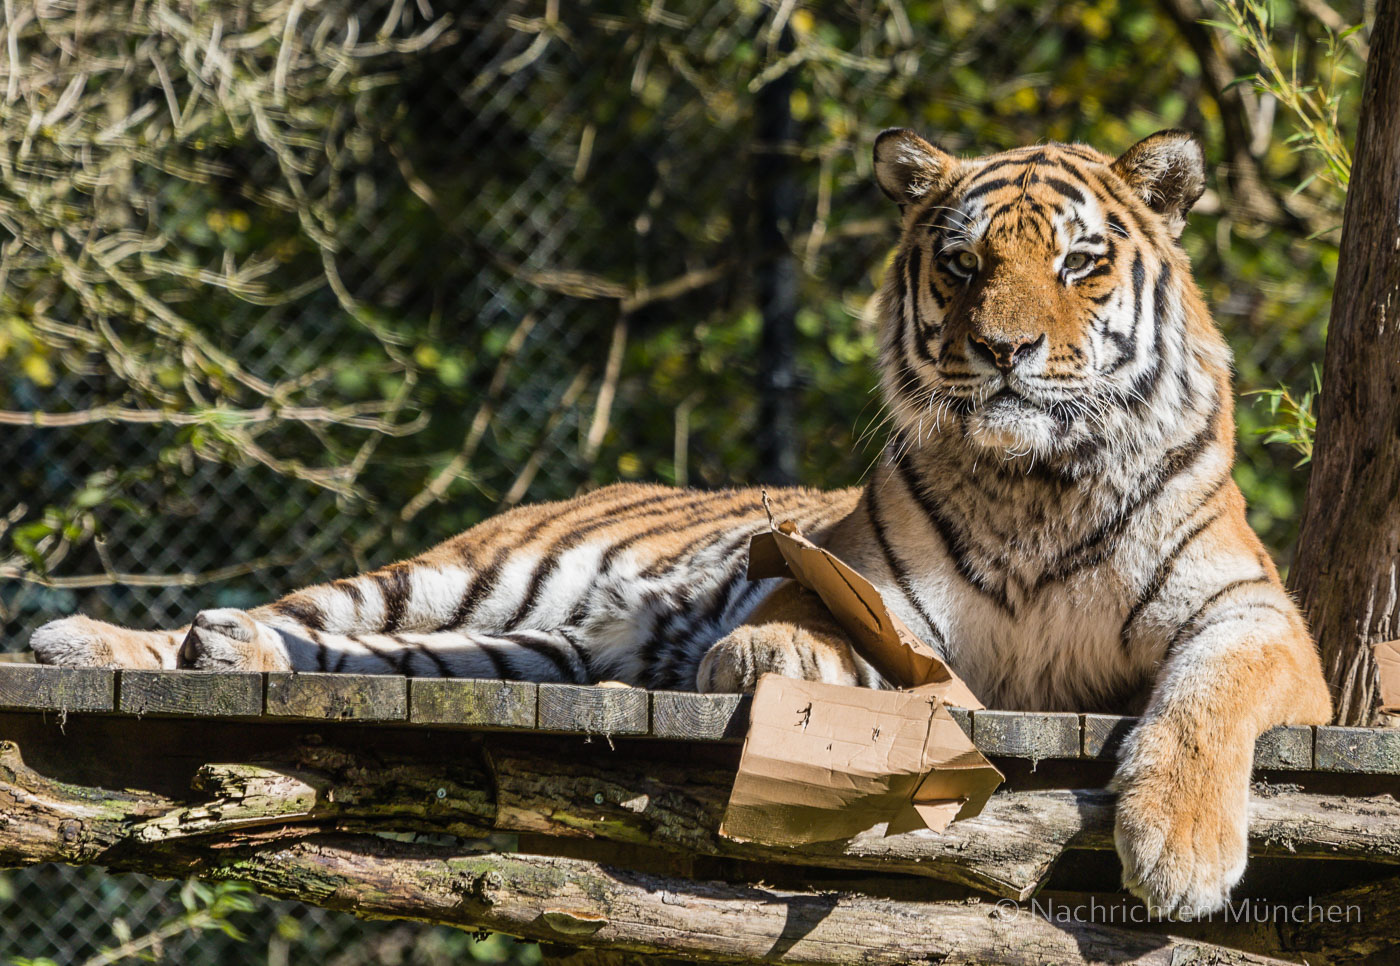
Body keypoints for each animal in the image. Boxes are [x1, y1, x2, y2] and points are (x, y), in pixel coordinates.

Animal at [27, 129, 1327, 918]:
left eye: (1078, 265)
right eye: (960, 267)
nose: (1002, 352)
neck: (1034, 483)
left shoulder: (1259, 622)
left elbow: (1206, 697)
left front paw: (1178, 855)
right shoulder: (863, 580)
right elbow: (815, 614)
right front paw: (772, 651)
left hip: (515, 651)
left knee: (363, 655)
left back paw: (213, 646)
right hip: (456, 578)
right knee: (313, 615)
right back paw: (107, 642)